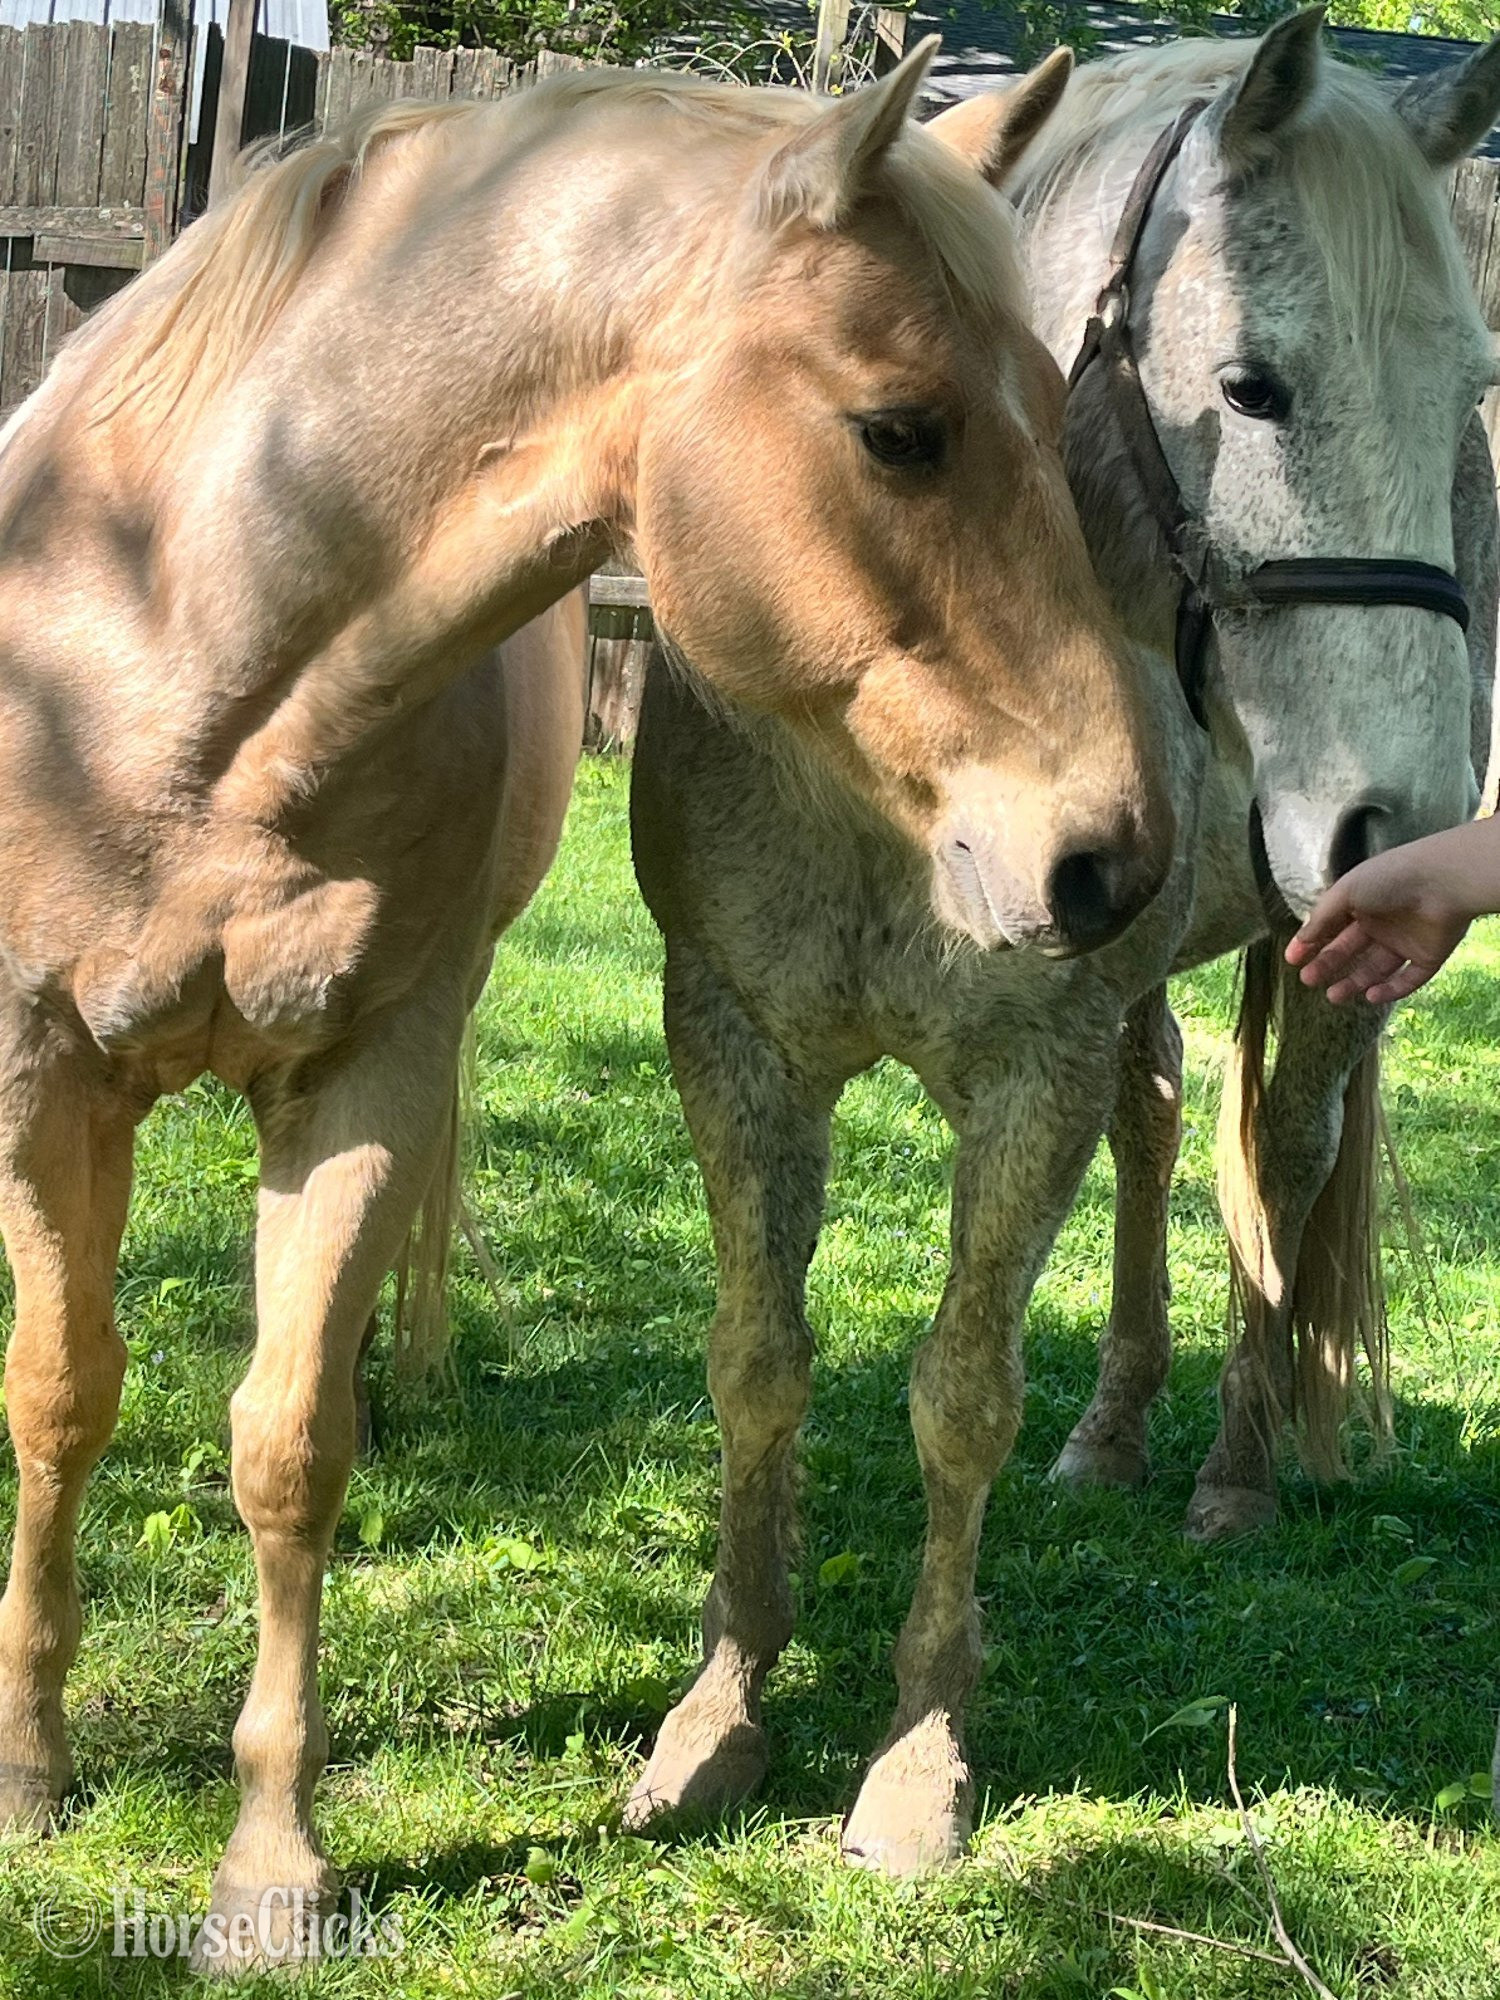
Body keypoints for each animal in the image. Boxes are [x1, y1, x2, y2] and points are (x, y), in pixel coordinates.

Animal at [0, 48, 1177, 1970]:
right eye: (901, 428)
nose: (1112, 860)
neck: (174, 664)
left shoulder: (367, 1075)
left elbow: (287, 1446)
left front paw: (272, 1864)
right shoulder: (42, 1082)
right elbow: (59, 1396)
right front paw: (29, 1762)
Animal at [625, 13, 1500, 1877]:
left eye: (1464, 384)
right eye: (1251, 386)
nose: (1402, 835)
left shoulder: (1026, 1070)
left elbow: (959, 1393)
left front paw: (917, 1759)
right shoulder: (735, 1042)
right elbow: (757, 1364)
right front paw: (718, 1712)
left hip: (1303, 982)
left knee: (1284, 1152)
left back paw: (1234, 1468)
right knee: (1161, 1124)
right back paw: (1114, 1432)